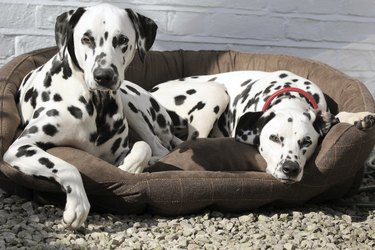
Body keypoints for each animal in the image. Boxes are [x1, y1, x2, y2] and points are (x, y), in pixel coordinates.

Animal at [3, 3, 181, 229]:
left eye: (122, 40)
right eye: (86, 39)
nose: (104, 76)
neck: (96, 104)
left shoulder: (117, 153)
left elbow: (142, 147)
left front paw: (131, 166)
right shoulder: (20, 148)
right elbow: (68, 166)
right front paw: (78, 205)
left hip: (130, 104)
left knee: (158, 146)